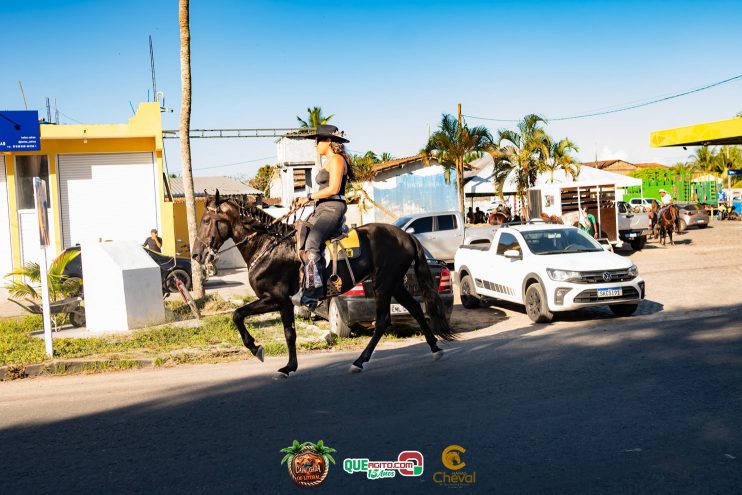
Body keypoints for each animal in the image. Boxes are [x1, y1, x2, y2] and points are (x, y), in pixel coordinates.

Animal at [190, 192, 460, 378]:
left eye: (207, 220)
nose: (196, 255)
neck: (268, 246)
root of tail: (406, 236)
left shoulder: (278, 299)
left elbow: (281, 331)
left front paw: (281, 363)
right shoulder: (277, 301)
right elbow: (242, 316)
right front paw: (265, 353)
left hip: (384, 284)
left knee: (383, 319)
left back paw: (360, 361)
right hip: (394, 284)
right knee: (415, 309)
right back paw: (435, 348)